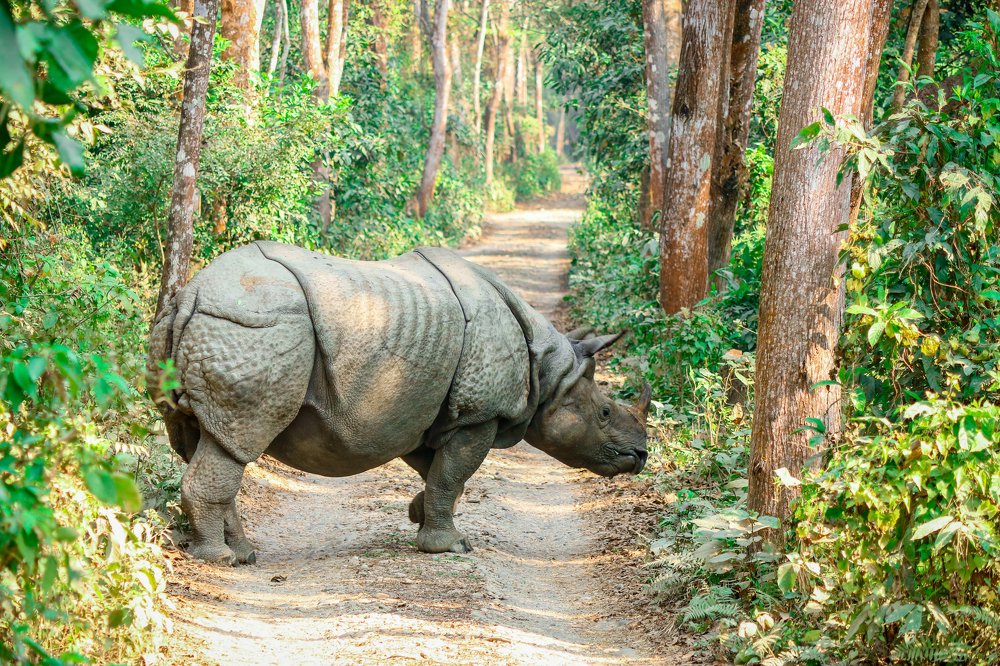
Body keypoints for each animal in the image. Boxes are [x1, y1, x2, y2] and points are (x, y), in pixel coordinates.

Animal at [148, 241, 650, 565]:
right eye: (605, 413)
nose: (641, 455)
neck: (550, 370)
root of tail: (191, 294)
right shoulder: (478, 414)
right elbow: (452, 474)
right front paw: (450, 547)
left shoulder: (424, 414)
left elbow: (440, 473)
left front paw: (419, 515)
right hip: (255, 326)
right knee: (236, 441)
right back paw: (220, 559)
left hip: (205, 325)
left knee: (205, 441)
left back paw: (244, 553)